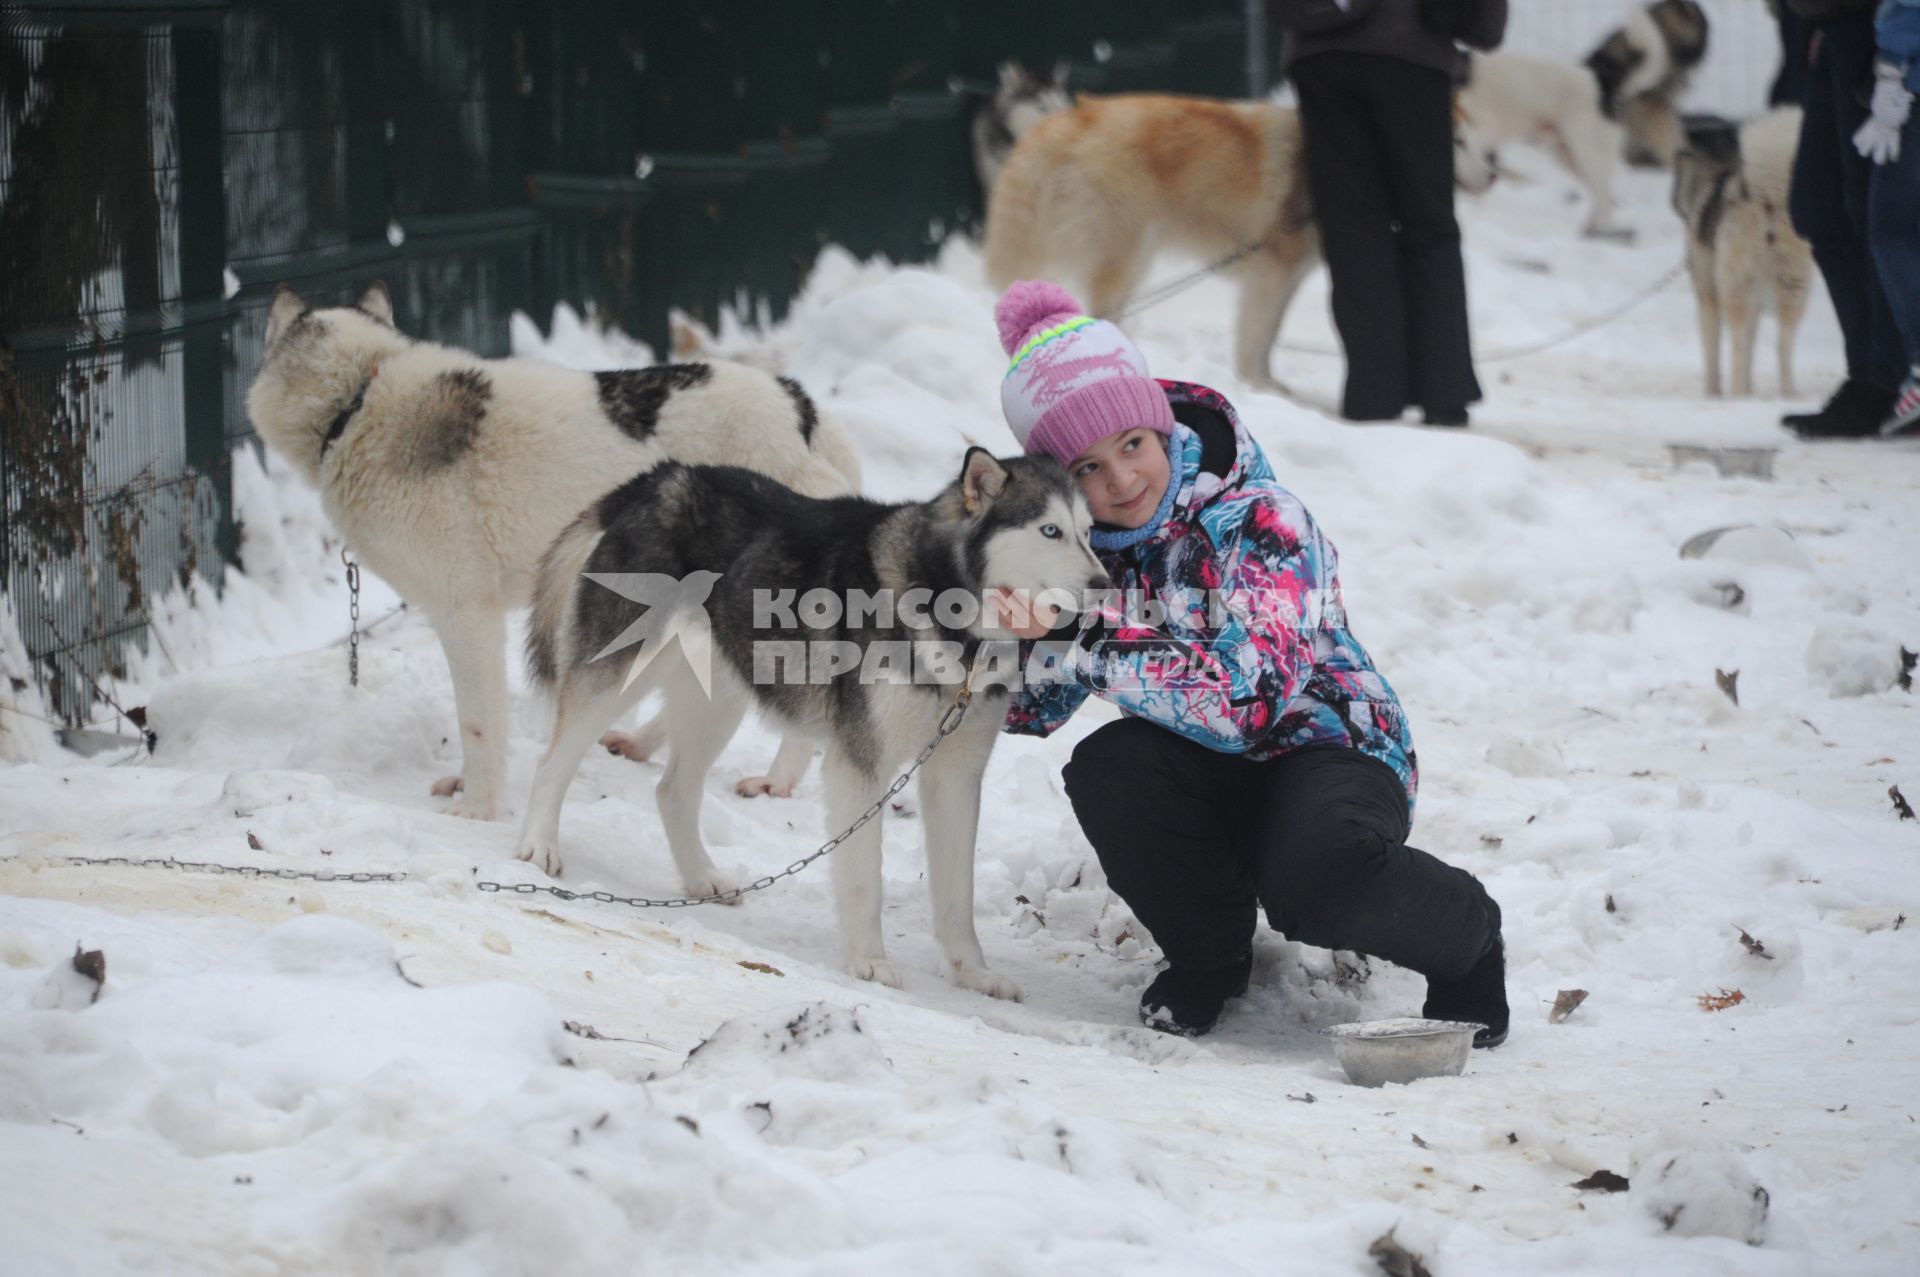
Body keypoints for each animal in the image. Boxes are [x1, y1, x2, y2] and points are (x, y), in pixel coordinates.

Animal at [243, 282, 860, 818]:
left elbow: (478, 725)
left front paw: (477, 810)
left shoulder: (466, 617)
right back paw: (640, 746)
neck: (357, 400)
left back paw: (777, 782)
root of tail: (800, 406)